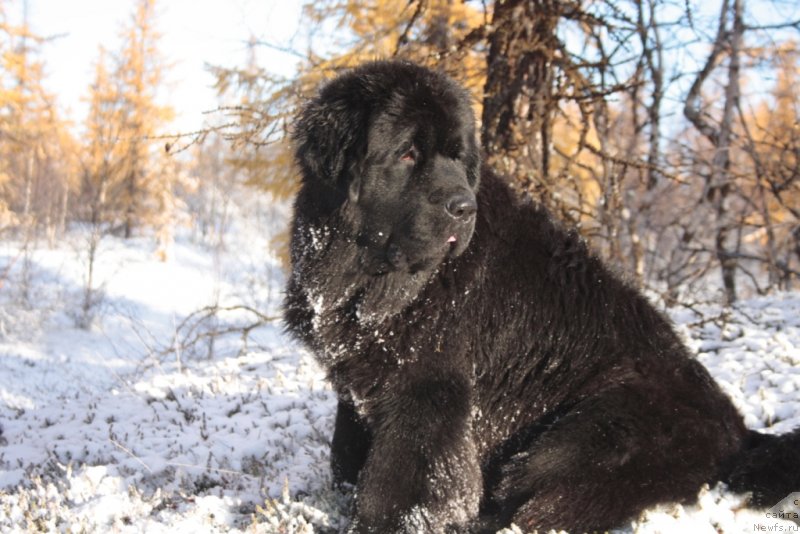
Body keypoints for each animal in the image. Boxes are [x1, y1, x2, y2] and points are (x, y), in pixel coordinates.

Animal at [282, 60, 800, 532]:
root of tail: (740, 432)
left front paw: (379, 521)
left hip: (588, 433)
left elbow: (399, 479)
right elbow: (346, 453)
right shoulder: (358, 375)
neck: (370, 277)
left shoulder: (427, 388)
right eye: (408, 154)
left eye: (458, 157)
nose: (462, 208)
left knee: (544, 506)